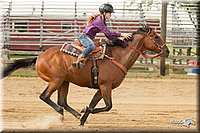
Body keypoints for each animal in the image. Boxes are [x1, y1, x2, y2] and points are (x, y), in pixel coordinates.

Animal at [2, 24, 170, 125]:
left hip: (64, 81)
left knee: (62, 100)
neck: (117, 56)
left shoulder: (101, 89)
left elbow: (95, 104)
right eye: (156, 37)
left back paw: (75, 115)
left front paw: (82, 120)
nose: (167, 51)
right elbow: (107, 106)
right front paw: (84, 111)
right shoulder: (105, 86)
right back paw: (61, 114)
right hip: (56, 80)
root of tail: (39, 57)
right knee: (45, 96)